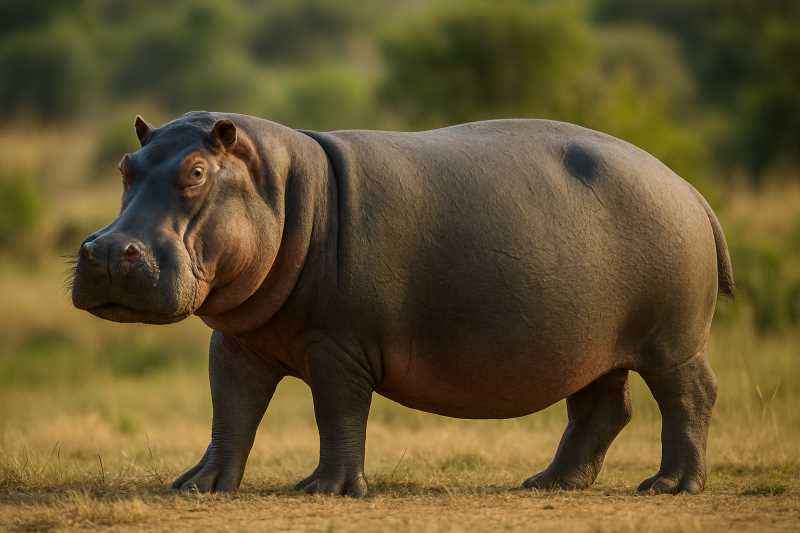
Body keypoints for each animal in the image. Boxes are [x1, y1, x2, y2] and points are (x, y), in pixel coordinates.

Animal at [71, 111, 733, 496]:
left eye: (196, 170)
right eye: (126, 165)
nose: (104, 250)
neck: (281, 188)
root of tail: (690, 190)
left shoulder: (339, 347)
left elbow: (338, 413)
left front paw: (323, 489)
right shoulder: (236, 342)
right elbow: (230, 411)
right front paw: (197, 486)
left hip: (671, 343)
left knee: (690, 397)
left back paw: (669, 486)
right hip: (591, 345)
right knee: (603, 409)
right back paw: (548, 484)